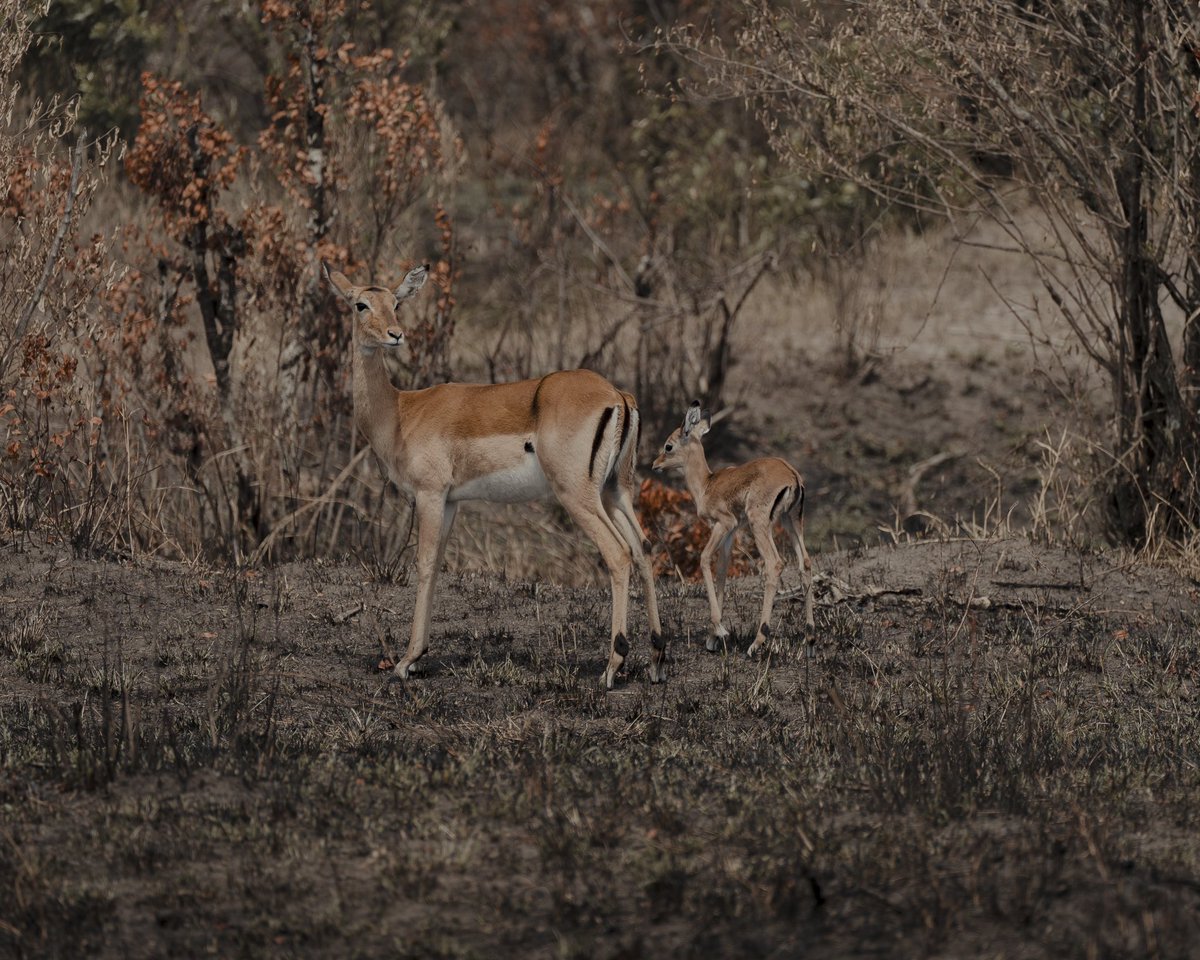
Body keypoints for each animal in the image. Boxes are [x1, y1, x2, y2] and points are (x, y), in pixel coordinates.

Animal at [324, 262, 663, 688]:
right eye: (362, 304)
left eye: (395, 303)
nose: (395, 335)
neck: (401, 413)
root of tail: (618, 395)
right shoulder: (451, 501)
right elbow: (437, 563)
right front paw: (417, 657)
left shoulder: (430, 494)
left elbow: (423, 563)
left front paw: (406, 661)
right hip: (615, 492)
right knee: (643, 548)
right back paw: (656, 660)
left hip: (577, 495)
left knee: (618, 553)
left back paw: (612, 667)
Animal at [653, 401, 815, 658]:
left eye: (668, 446)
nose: (655, 464)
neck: (706, 485)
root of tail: (792, 475)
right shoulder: (731, 533)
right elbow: (722, 569)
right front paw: (713, 638)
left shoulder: (723, 524)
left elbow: (704, 559)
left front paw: (720, 629)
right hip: (792, 521)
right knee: (805, 563)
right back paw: (809, 640)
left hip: (760, 524)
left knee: (775, 563)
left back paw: (757, 642)